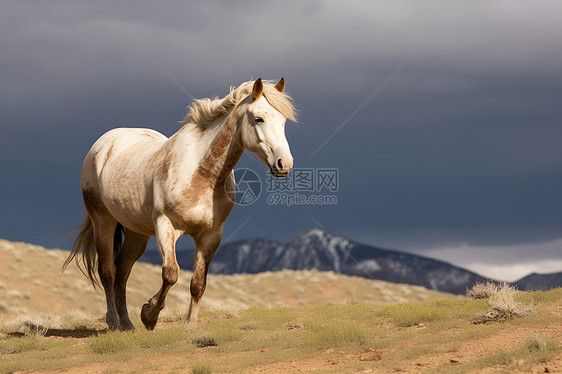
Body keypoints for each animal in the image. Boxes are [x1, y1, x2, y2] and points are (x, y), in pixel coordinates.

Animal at [63, 78, 296, 330]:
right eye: (258, 118)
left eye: (283, 121)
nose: (284, 164)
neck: (202, 173)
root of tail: (103, 145)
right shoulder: (166, 227)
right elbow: (170, 274)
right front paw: (149, 314)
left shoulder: (211, 235)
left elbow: (198, 283)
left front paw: (190, 325)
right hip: (103, 220)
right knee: (108, 271)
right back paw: (114, 322)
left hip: (137, 233)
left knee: (122, 271)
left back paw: (127, 324)